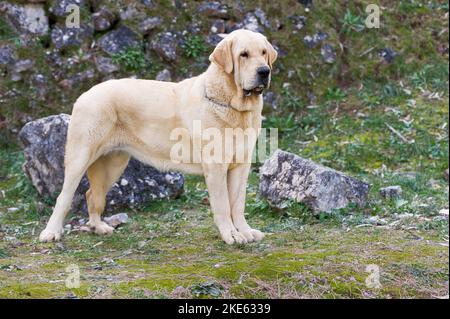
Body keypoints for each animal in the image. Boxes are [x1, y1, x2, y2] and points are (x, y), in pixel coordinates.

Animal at [39, 29, 278, 245]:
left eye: (263, 52)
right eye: (243, 54)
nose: (264, 71)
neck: (232, 104)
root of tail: (86, 93)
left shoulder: (241, 165)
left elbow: (237, 204)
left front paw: (245, 231)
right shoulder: (216, 166)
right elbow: (223, 205)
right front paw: (231, 235)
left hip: (113, 164)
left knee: (92, 195)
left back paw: (99, 227)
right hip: (80, 156)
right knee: (64, 196)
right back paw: (51, 232)